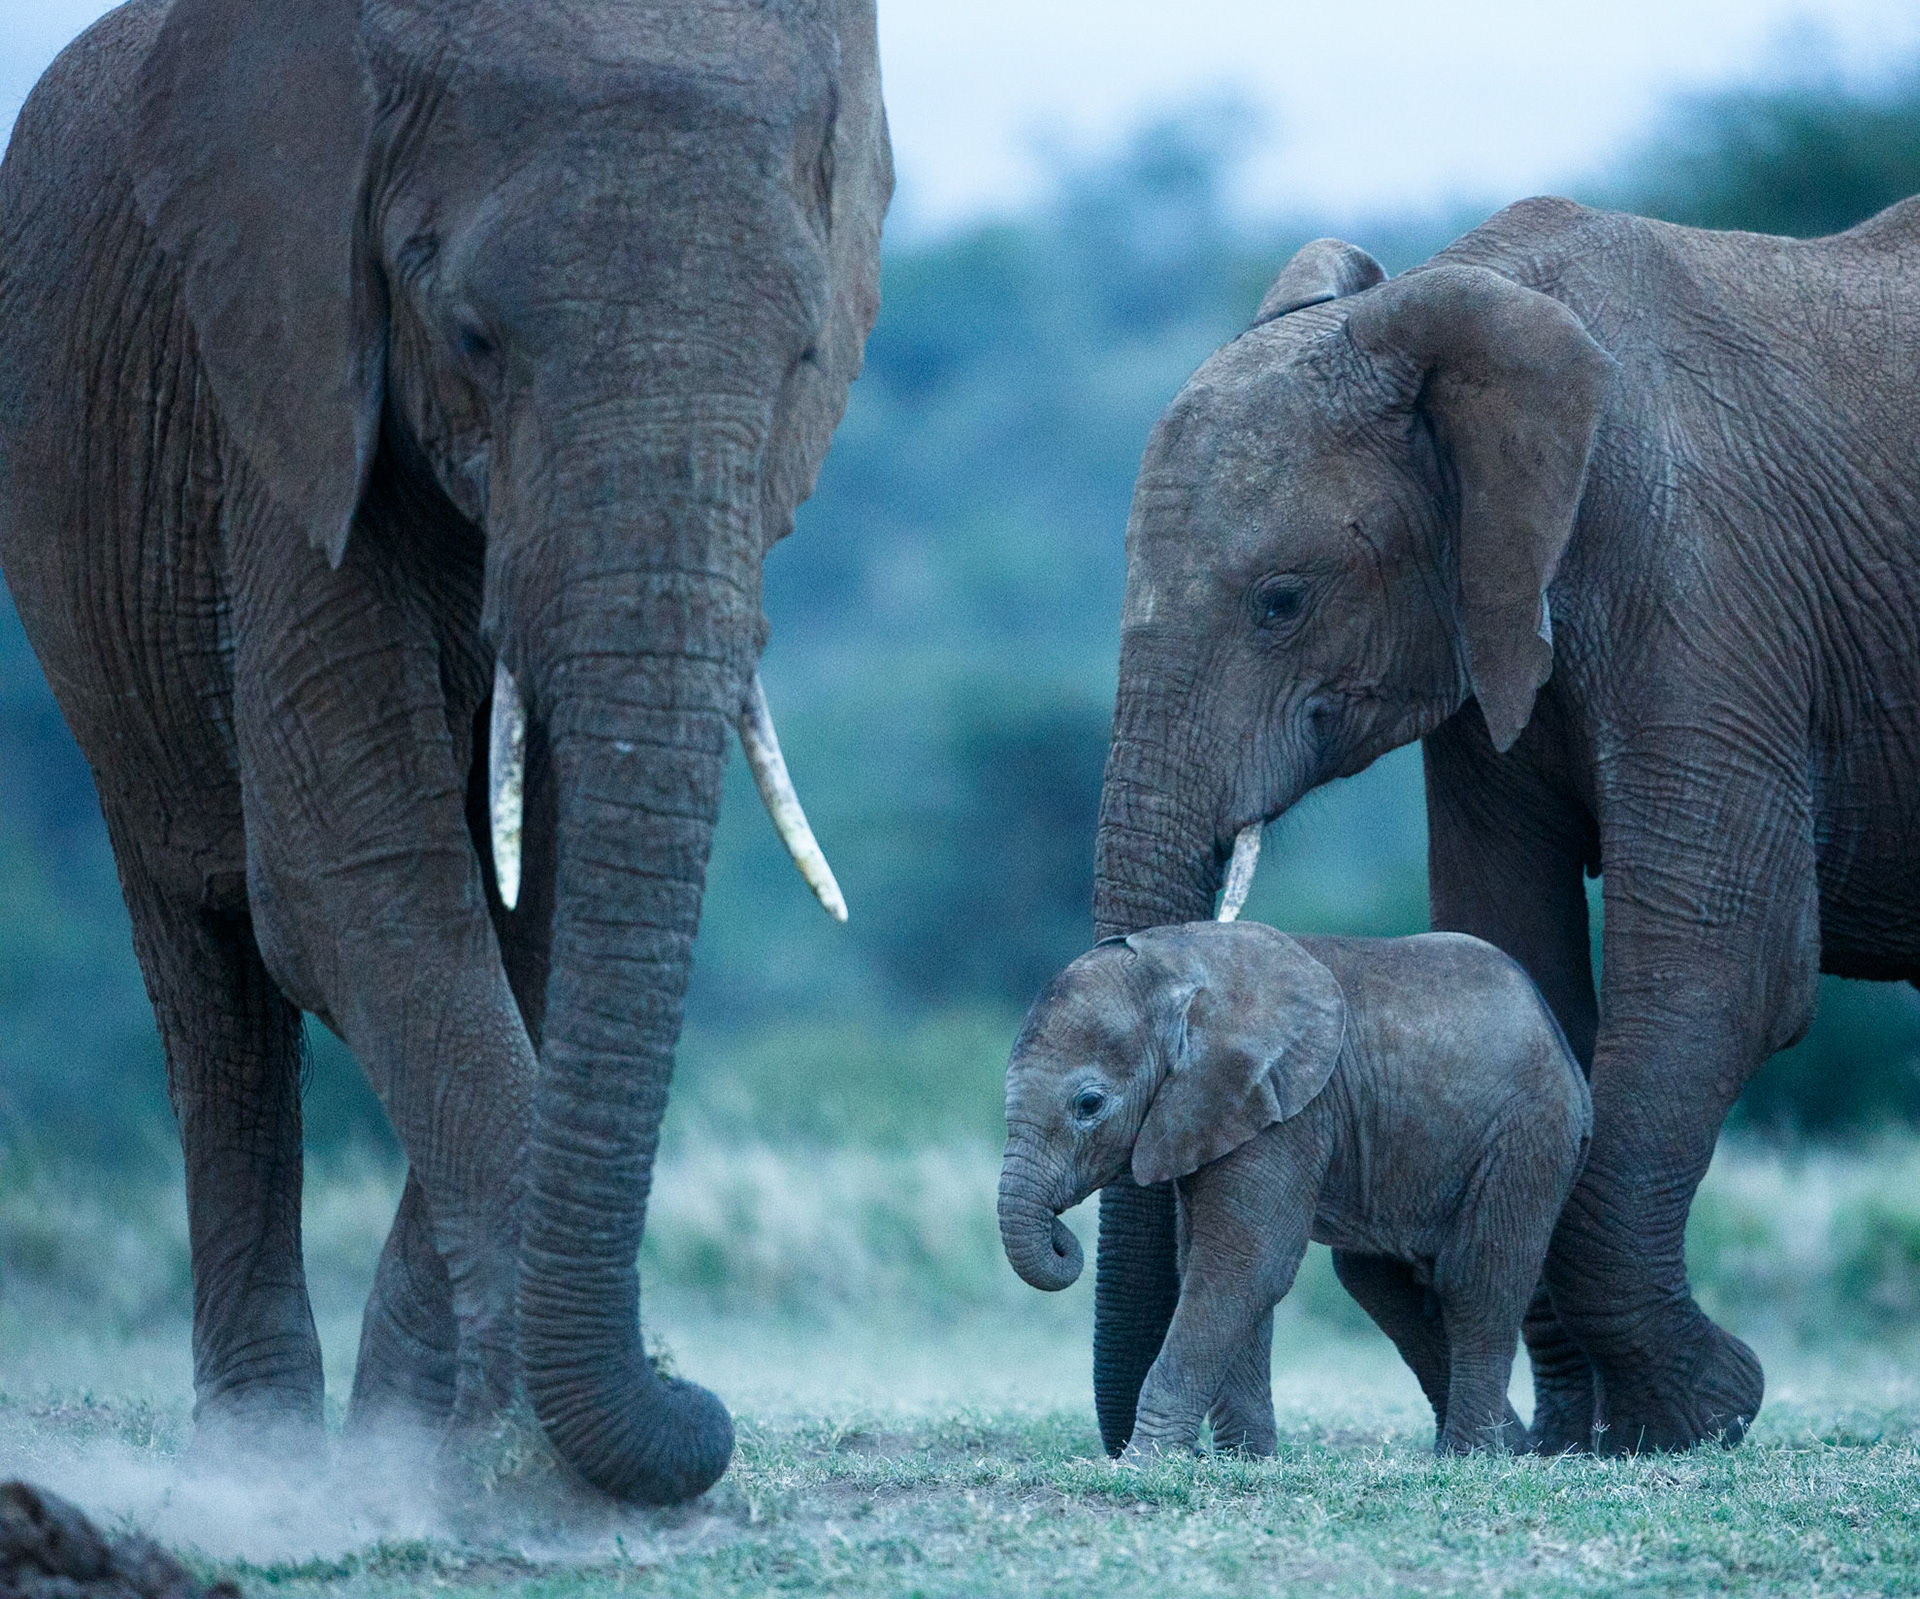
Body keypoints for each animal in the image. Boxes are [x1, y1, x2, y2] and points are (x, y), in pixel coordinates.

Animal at [0, 0, 889, 1503]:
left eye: (802, 364)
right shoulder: (281, 412)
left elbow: (533, 916)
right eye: (471, 335)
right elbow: (359, 888)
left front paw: (449, 1448)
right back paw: (254, 1458)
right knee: (209, 977)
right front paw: (530, 1461)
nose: (701, 1397)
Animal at [1000, 922, 1590, 1456]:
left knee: (1477, 1280)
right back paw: (1515, 1447)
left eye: (1089, 1104)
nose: (1062, 1235)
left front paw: (1149, 1460)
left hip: (1527, 1135)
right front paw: (1248, 1460)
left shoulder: (1285, 1112)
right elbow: (1216, 1264)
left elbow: (1243, 1264)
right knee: (1383, 1288)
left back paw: (1471, 1455)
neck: (1180, 963)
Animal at [1089, 197, 1920, 1457]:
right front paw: (1575, 1437)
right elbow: (1514, 957)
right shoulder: (1488, 632)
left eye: (1283, 603)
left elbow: (1724, 970)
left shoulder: (1713, 594)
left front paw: (1699, 1415)